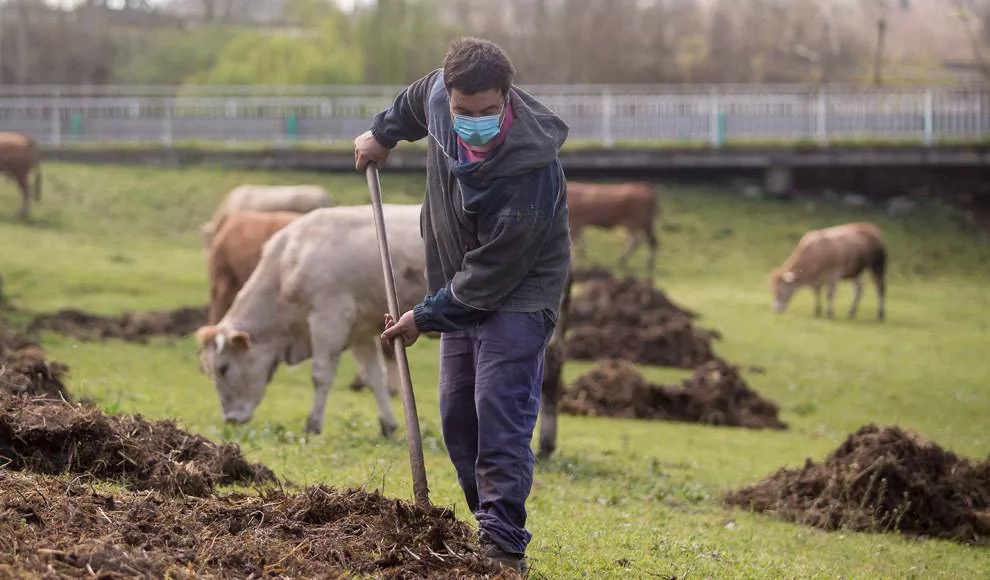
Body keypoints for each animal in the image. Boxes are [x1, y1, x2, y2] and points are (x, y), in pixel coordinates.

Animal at [194, 204, 426, 436]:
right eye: (208, 370)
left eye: (223, 368)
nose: (231, 419)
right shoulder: (359, 331)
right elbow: (374, 377)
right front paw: (388, 425)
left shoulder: (328, 319)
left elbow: (321, 375)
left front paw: (313, 424)